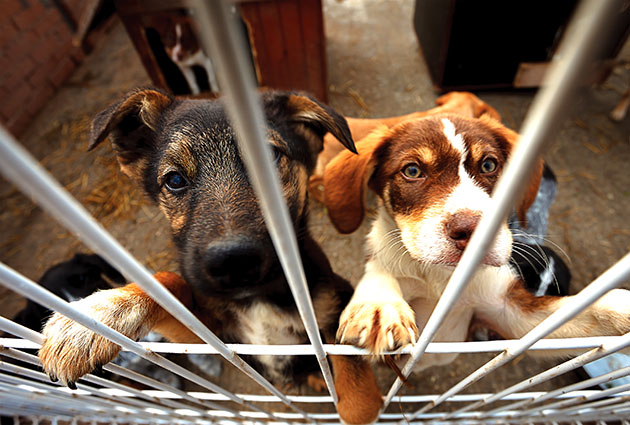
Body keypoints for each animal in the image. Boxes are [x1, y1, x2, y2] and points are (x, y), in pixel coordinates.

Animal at [40, 88, 386, 422]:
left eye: (270, 158)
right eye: (174, 180)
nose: (234, 262)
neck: (256, 299)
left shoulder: (332, 305)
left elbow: (352, 383)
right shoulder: (213, 337)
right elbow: (167, 284)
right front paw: (95, 317)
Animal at [324, 95, 630, 368]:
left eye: (489, 165)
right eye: (412, 170)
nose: (475, 231)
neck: (441, 279)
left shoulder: (511, 314)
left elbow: (585, 311)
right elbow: (380, 271)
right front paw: (378, 306)